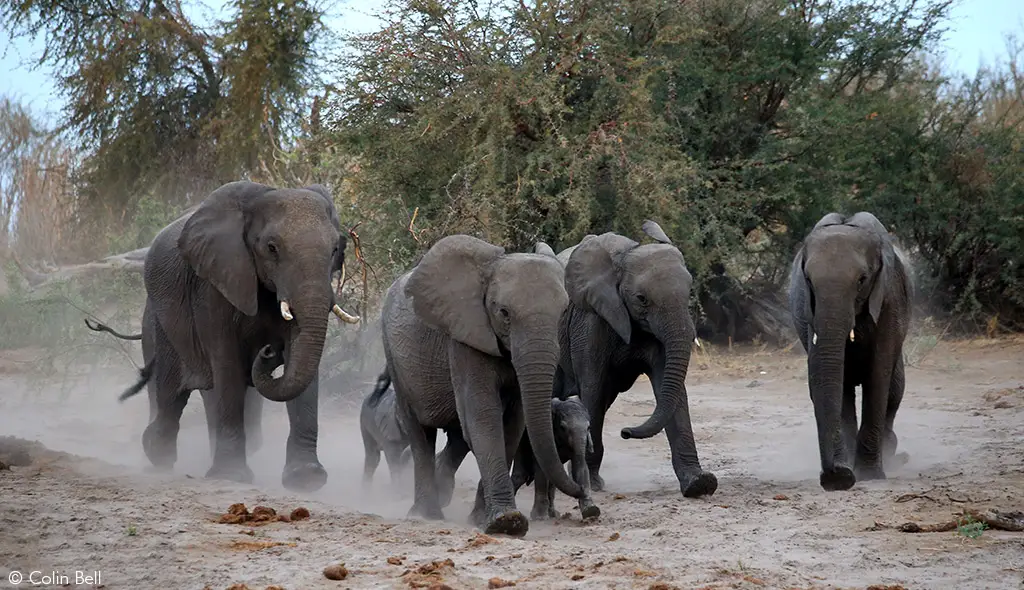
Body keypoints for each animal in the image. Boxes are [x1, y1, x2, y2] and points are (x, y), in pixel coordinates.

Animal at [114, 180, 360, 492]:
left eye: (335, 249)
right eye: (271, 248)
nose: (268, 351)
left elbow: (301, 358)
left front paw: (306, 479)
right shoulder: (214, 284)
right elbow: (227, 362)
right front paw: (231, 476)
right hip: (162, 320)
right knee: (172, 392)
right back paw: (157, 455)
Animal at [380, 234, 584, 537]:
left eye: (562, 312)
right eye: (504, 313)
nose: (582, 490)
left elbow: (512, 424)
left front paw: (482, 519)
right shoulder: (465, 336)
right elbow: (484, 416)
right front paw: (506, 522)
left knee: (458, 437)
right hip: (394, 358)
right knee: (420, 434)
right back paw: (427, 514)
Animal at [558, 220, 718, 498]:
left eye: (689, 293)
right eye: (641, 299)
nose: (625, 432)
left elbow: (670, 390)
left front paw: (699, 483)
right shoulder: (590, 323)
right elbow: (593, 389)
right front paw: (593, 485)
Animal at [788, 211, 912, 491]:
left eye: (861, 280)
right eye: (808, 281)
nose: (834, 476)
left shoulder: (889, 301)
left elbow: (878, 376)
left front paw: (869, 475)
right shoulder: (809, 313)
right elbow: (831, 382)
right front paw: (848, 472)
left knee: (895, 389)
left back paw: (892, 453)